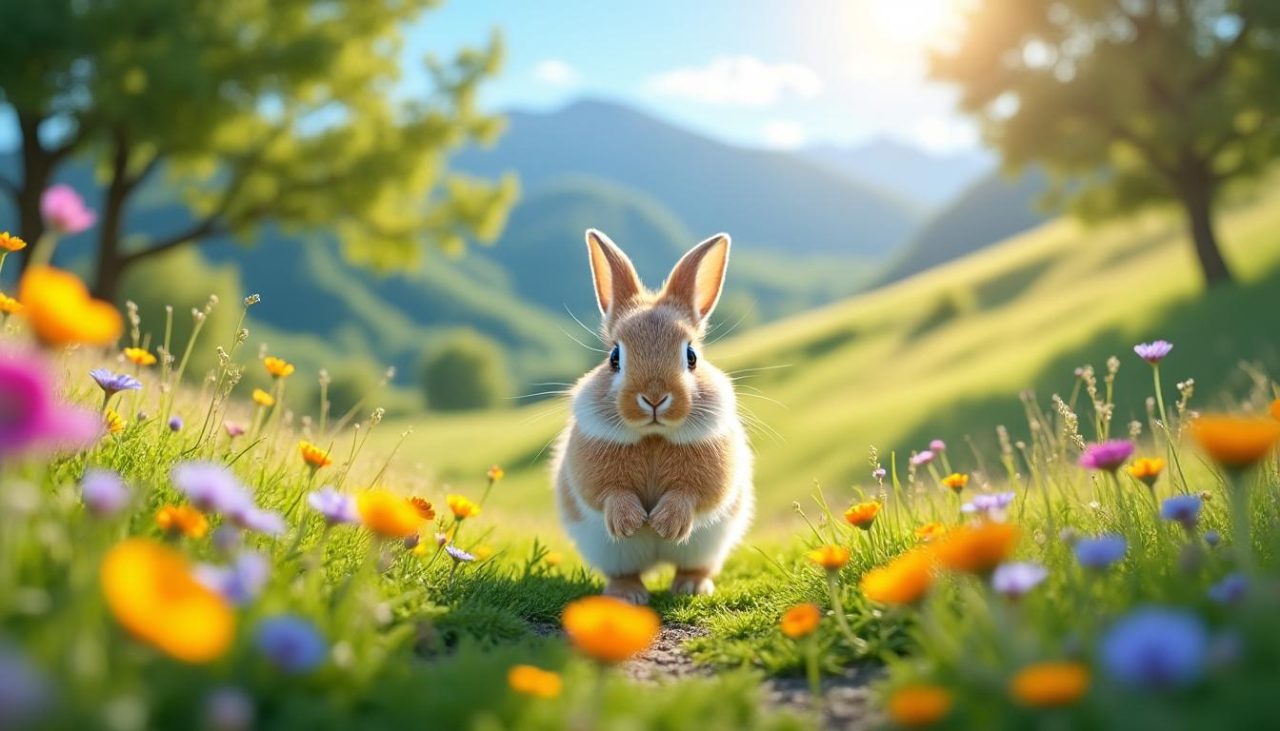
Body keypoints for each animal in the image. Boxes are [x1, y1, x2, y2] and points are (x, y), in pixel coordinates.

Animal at [552, 229, 754, 604]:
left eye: (691, 356)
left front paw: (664, 524)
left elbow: (692, 493)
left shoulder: (710, 476)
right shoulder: (593, 472)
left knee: (693, 566)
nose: (654, 398)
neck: (653, 435)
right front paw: (631, 523)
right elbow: (609, 492)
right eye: (614, 357)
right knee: (626, 573)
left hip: (709, 545)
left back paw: (691, 588)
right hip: (611, 553)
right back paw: (628, 595)